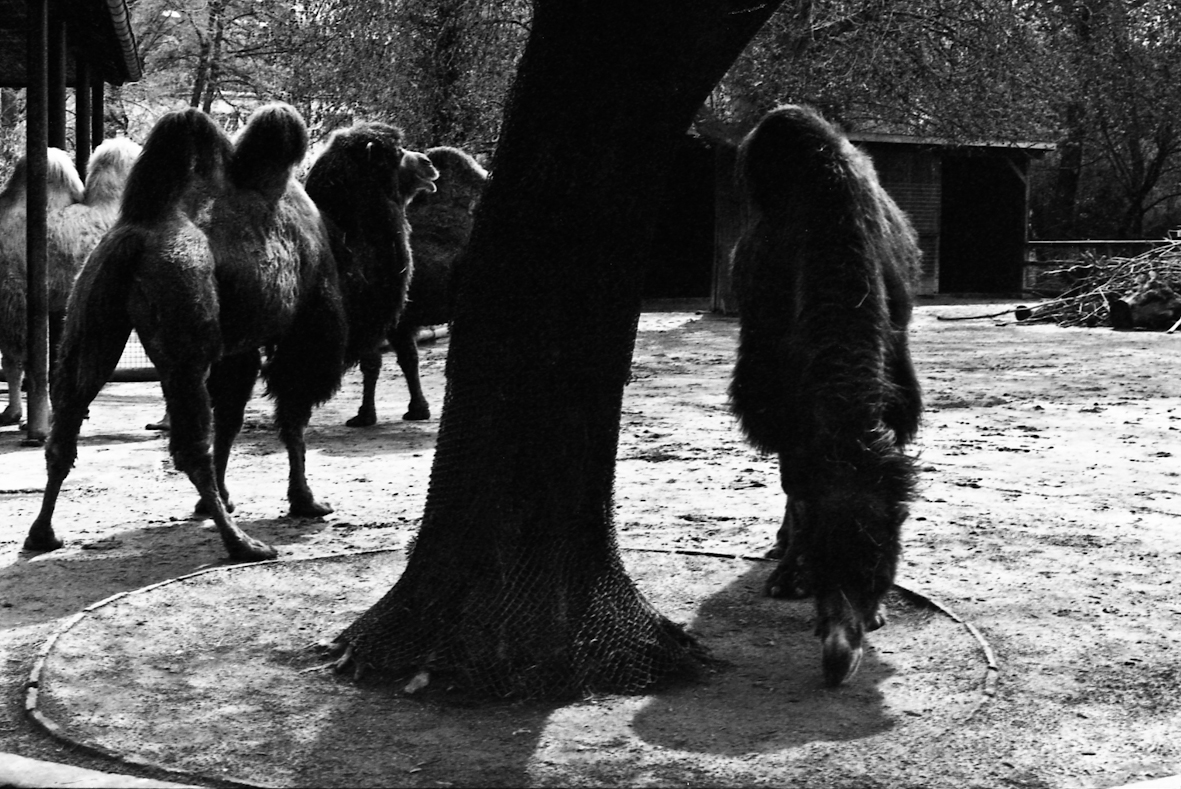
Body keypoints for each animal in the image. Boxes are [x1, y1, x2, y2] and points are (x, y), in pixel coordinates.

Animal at [19, 103, 359, 559]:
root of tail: (138, 231)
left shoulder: (238, 347)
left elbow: (232, 415)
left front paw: (223, 499)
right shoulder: (307, 322)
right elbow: (292, 414)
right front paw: (305, 502)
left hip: (90, 303)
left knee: (69, 415)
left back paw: (42, 533)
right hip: (184, 303)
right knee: (190, 441)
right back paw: (242, 543)